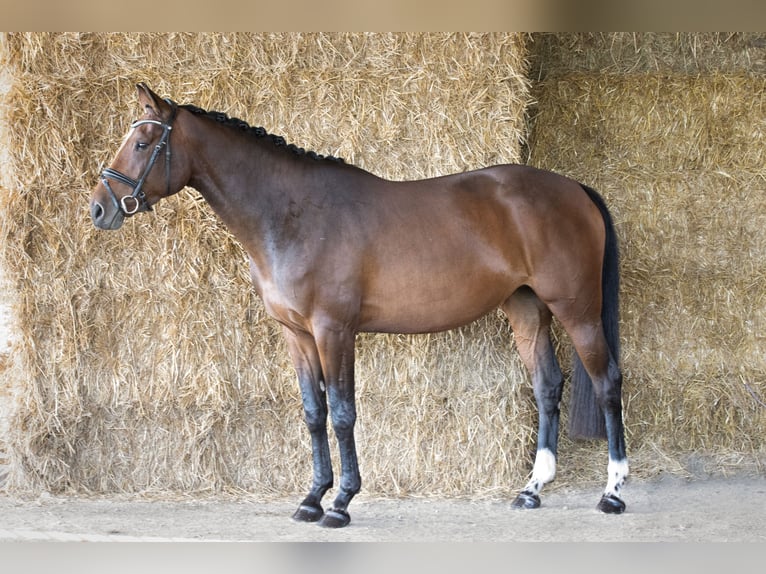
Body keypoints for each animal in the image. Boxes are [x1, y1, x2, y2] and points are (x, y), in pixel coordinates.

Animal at [90, 83, 632, 528]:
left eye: (142, 144)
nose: (100, 208)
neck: (294, 215)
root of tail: (573, 189)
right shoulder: (297, 334)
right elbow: (314, 413)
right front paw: (311, 499)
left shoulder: (334, 330)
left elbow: (343, 413)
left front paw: (341, 503)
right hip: (527, 311)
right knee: (547, 386)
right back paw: (532, 489)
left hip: (578, 311)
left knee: (607, 382)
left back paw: (612, 492)